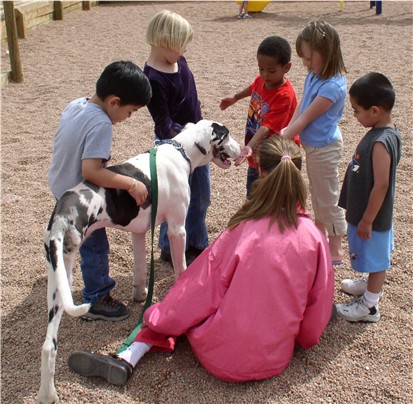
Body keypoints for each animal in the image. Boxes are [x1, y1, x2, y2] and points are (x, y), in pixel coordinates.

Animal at [37, 118, 240, 402]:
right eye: (227, 135)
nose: (243, 148)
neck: (180, 151)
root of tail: (62, 212)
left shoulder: (139, 232)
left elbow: (141, 270)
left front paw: (140, 295)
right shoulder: (177, 230)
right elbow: (181, 269)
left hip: (58, 281)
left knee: (48, 345)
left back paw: (47, 394)